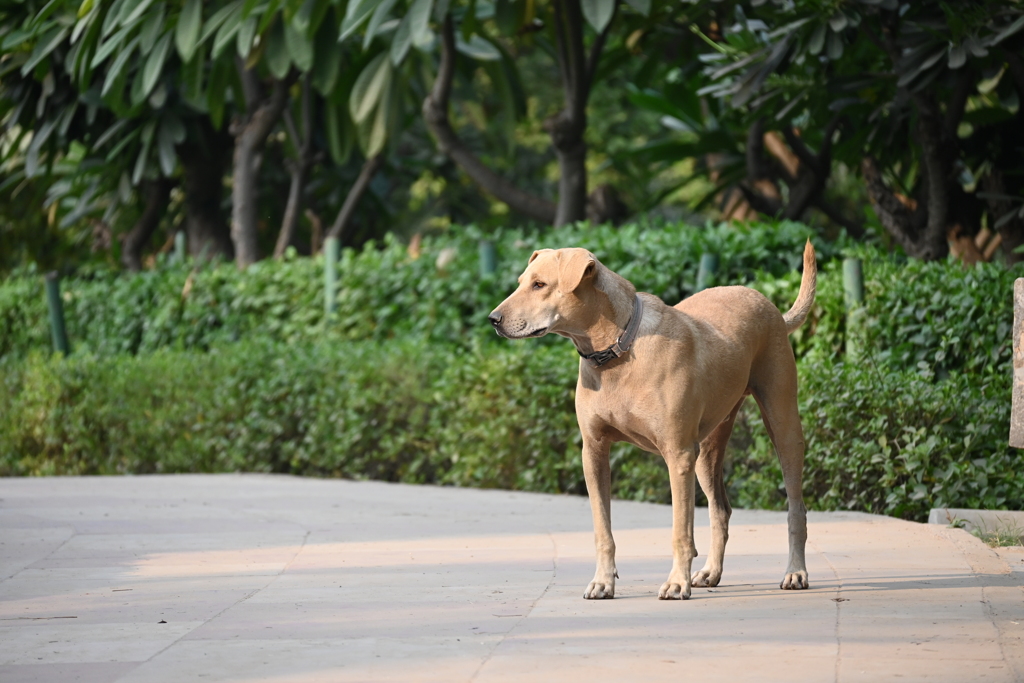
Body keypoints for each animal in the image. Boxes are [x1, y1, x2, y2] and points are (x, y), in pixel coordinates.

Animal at [487, 242, 815, 602]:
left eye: (539, 285)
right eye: (521, 282)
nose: (493, 319)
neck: (617, 347)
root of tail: (769, 305)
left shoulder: (678, 455)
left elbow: (680, 531)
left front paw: (676, 583)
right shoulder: (594, 452)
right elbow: (603, 530)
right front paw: (603, 581)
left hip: (782, 422)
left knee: (795, 507)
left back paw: (795, 572)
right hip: (707, 450)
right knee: (720, 509)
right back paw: (711, 572)